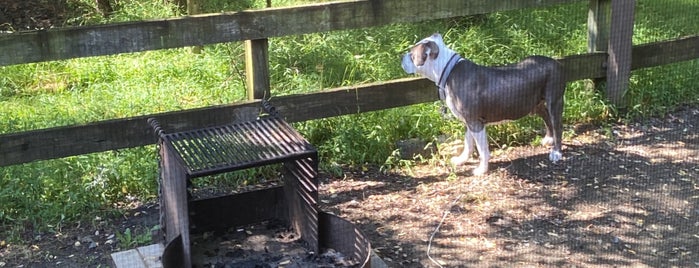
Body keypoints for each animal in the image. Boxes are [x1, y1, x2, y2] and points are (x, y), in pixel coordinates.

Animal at [402, 33, 568, 176]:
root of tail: (558, 63)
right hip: (535, 104)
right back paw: (549, 139)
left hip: (554, 100)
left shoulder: (475, 122)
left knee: (557, 125)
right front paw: (461, 160)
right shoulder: (468, 121)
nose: (400, 57)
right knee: (546, 116)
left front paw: (481, 170)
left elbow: (482, 149)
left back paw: (556, 153)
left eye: (411, 54)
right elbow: (468, 144)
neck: (447, 71)